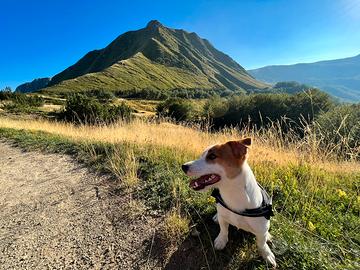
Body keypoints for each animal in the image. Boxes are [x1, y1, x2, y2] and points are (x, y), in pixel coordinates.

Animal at [181, 138, 278, 266]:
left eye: (212, 156)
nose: (183, 166)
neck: (232, 193)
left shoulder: (261, 229)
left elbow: (261, 243)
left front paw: (266, 254)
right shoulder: (224, 217)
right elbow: (223, 230)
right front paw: (221, 240)